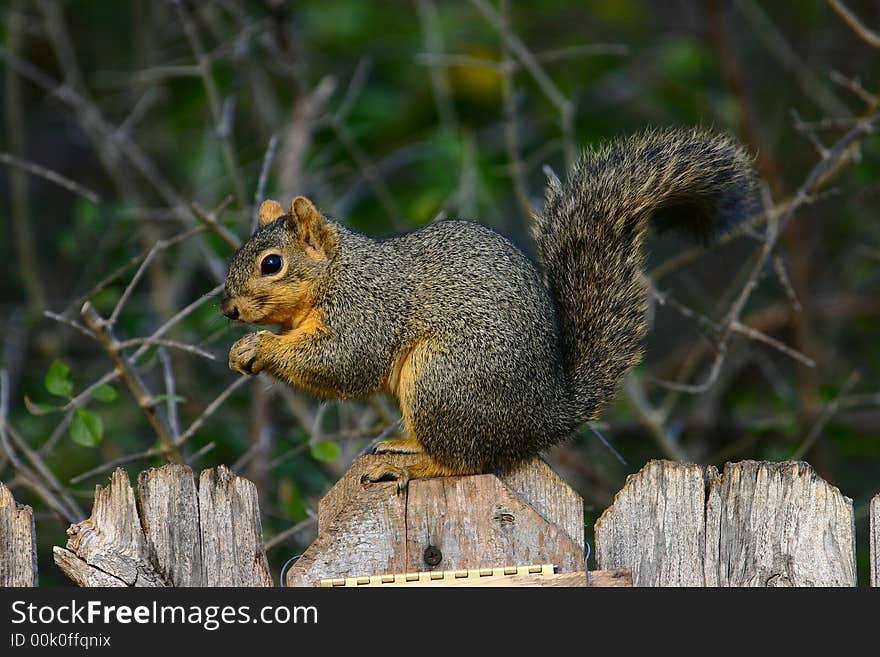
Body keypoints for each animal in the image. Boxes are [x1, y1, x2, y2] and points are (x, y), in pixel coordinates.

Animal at [218, 128, 756, 490]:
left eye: (271, 263)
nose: (228, 310)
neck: (335, 272)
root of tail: (543, 416)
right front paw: (241, 350)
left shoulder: (366, 308)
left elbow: (345, 360)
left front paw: (260, 347)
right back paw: (406, 444)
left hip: (443, 379)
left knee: (465, 461)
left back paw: (414, 465)